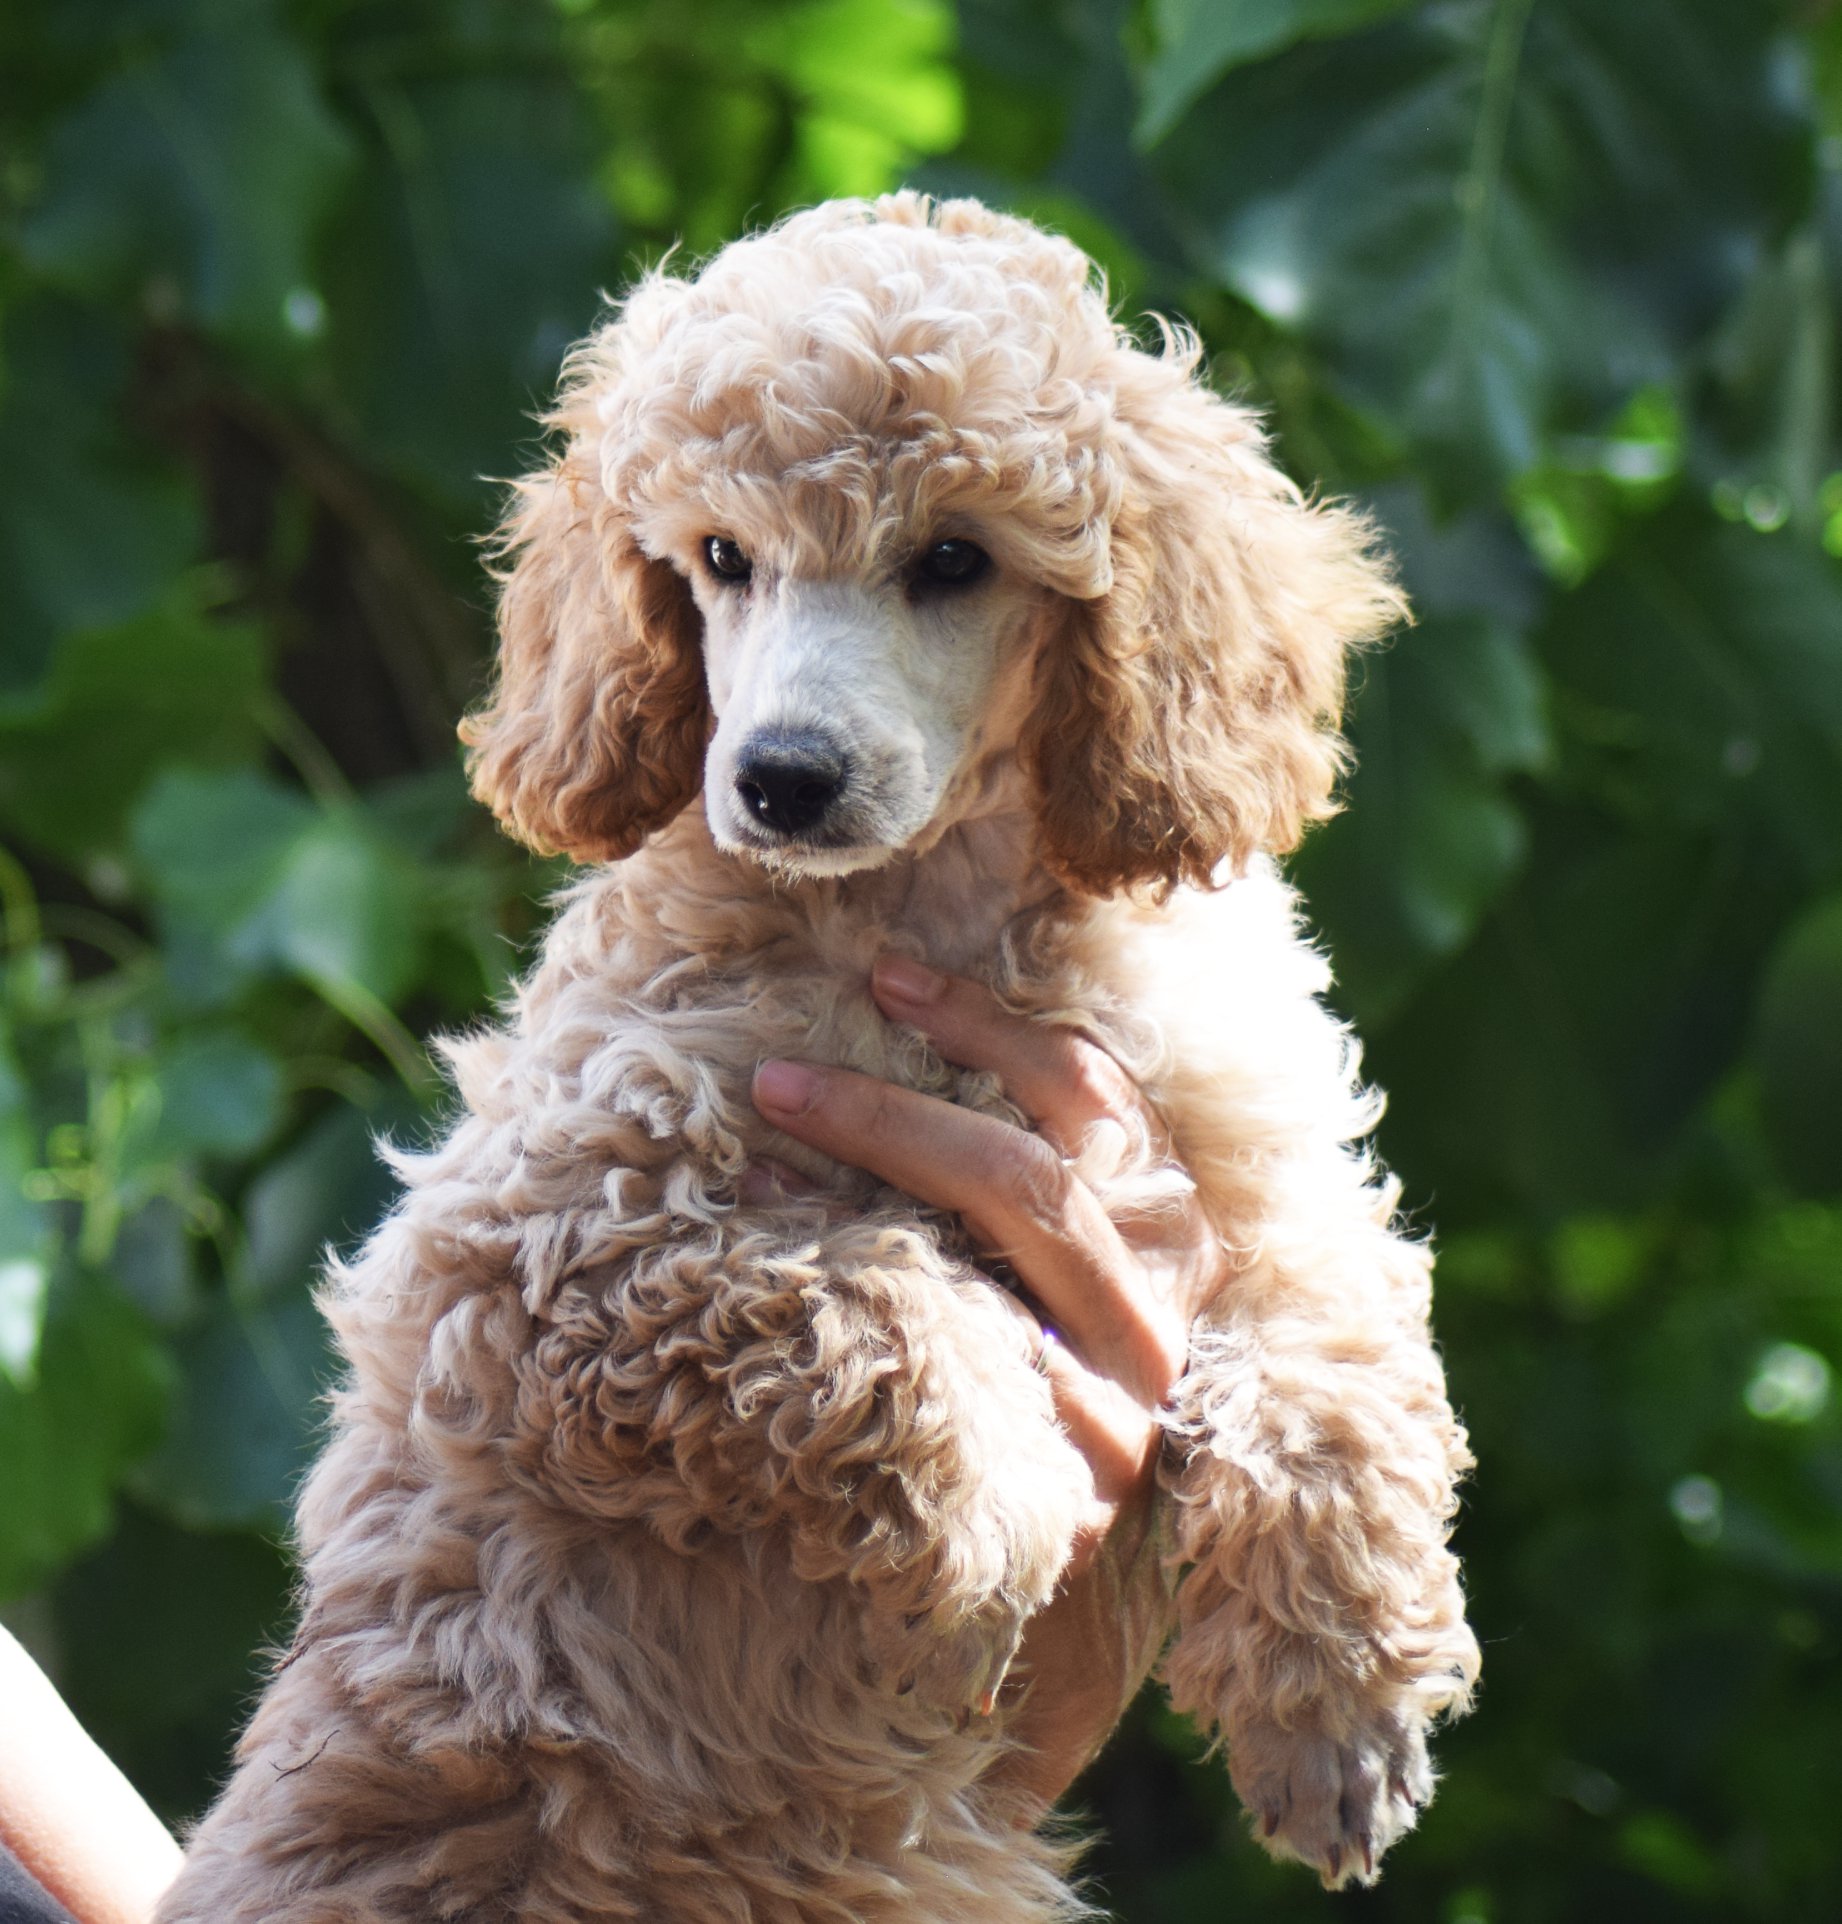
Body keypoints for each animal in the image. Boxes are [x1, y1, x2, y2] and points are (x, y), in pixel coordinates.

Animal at [156, 193, 1478, 1922]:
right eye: (720, 559)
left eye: (953, 560)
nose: (778, 780)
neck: (931, 915)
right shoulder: (543, 1242)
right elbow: (852, 1295)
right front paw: (1006, 1505)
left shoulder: (1249, 1164)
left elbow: (1343, 1379)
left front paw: (1338, 1715)